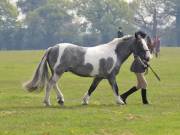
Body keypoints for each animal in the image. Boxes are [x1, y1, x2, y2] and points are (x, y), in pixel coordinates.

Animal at [23, 31, 152, 106]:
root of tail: (52, 48)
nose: (148, 57)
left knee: (54, 84)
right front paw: (120, 101)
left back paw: (61, 100)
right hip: (58, 72)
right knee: (50, 84)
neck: (114, 53)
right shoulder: (111, 76)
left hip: (56, 72)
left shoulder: (99, 77)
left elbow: (92, 88)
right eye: (141, 44)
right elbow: (115, 88)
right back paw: (47, 102)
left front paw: (85, 101)